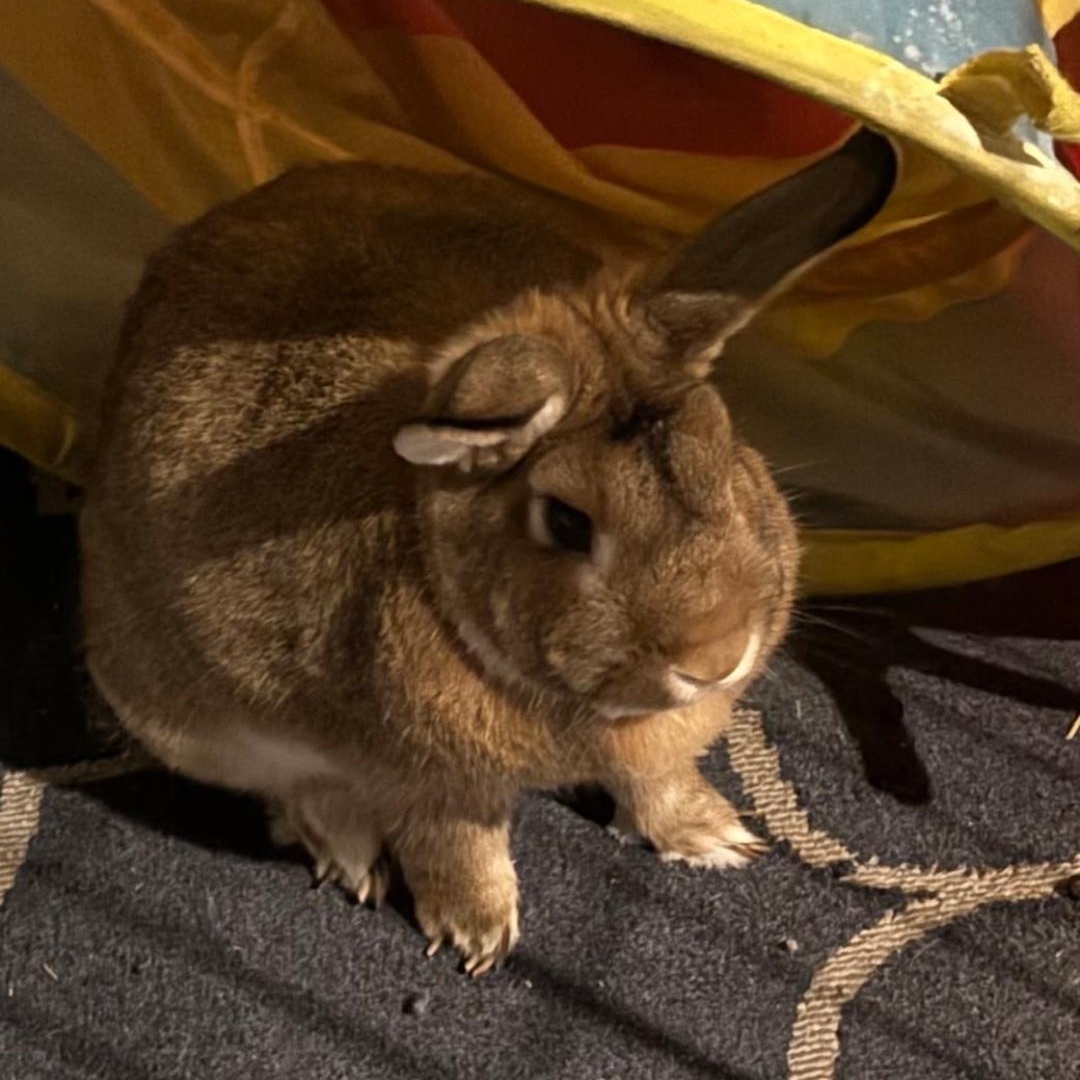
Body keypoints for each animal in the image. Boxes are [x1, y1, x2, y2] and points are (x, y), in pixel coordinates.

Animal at [80, 127, 896, 975]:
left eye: (726, 447)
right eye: (567, 522)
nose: (715, 658)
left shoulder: (649, 750)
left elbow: (657, 779)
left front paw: (717, 836)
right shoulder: (429, 780)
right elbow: (458, 846)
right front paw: (478, 935)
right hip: (190, 713)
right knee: (295, 792)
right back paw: (349, 856)